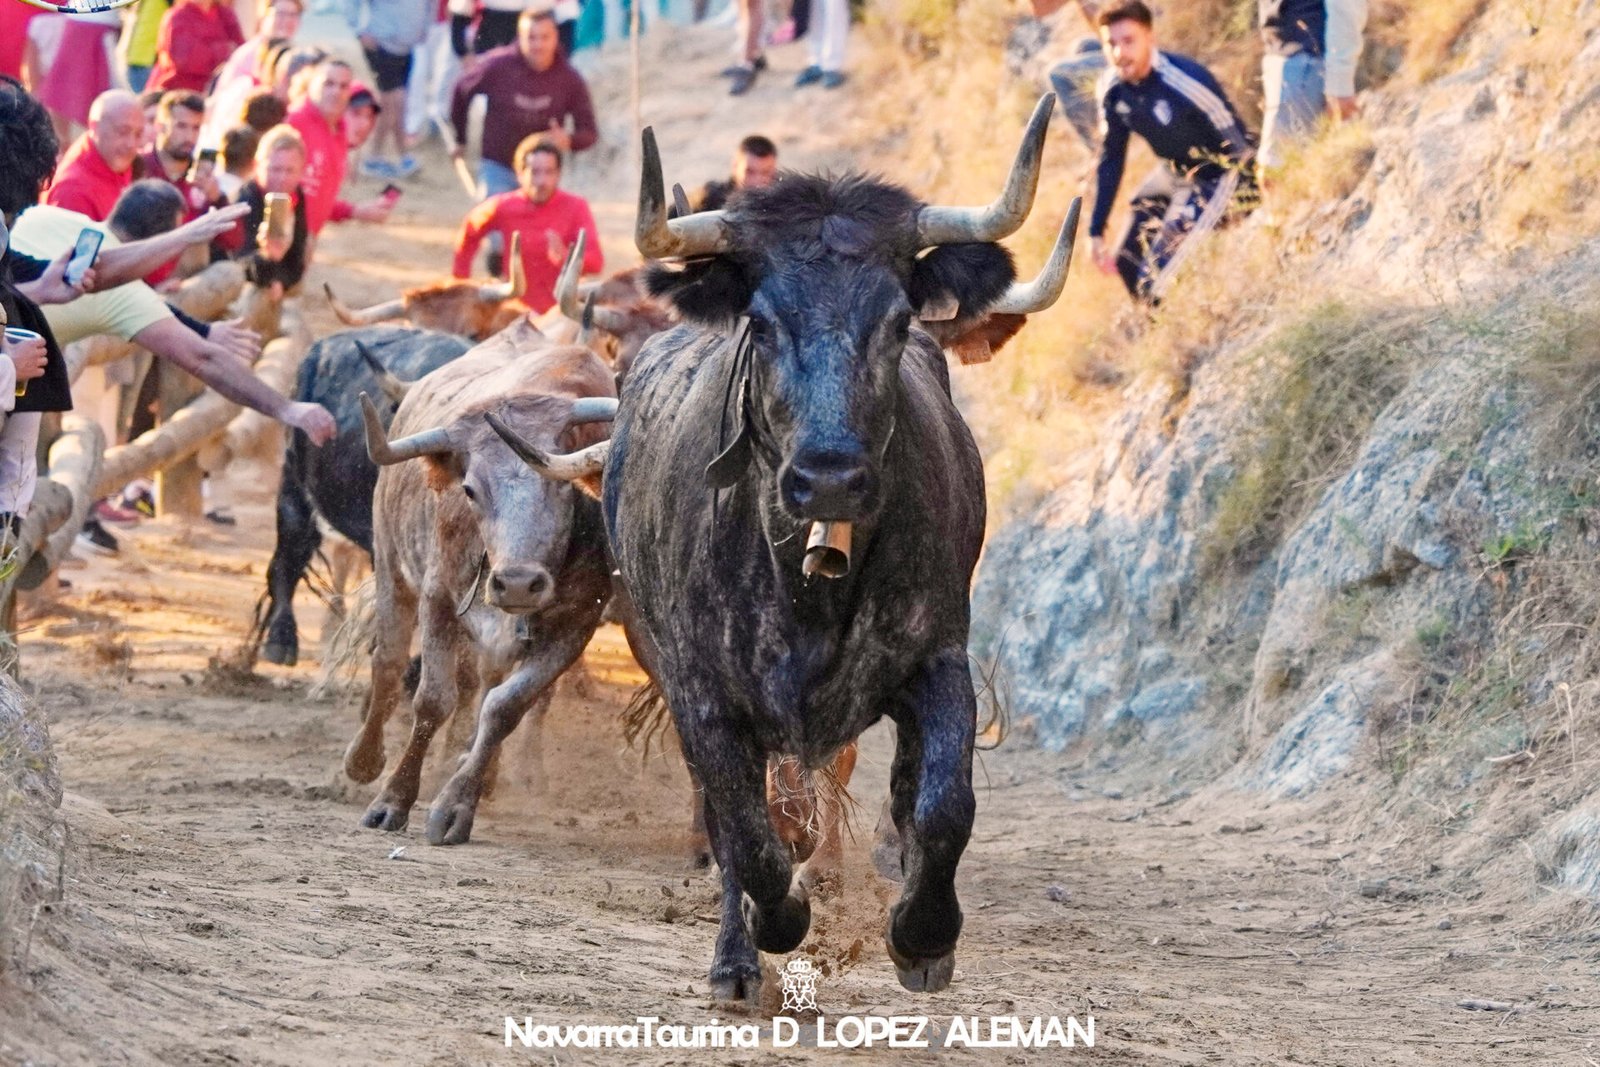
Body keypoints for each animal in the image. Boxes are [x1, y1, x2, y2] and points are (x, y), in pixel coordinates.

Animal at [492, 97, 1081, 1004]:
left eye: (899, 320)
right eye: (762, 324)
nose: (829, 476)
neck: (809, 580)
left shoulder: (937, 658)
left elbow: (942, 802)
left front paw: (922, 935)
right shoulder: (702, 693)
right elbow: (745, 830)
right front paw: (775, 922)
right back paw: (739, 962)